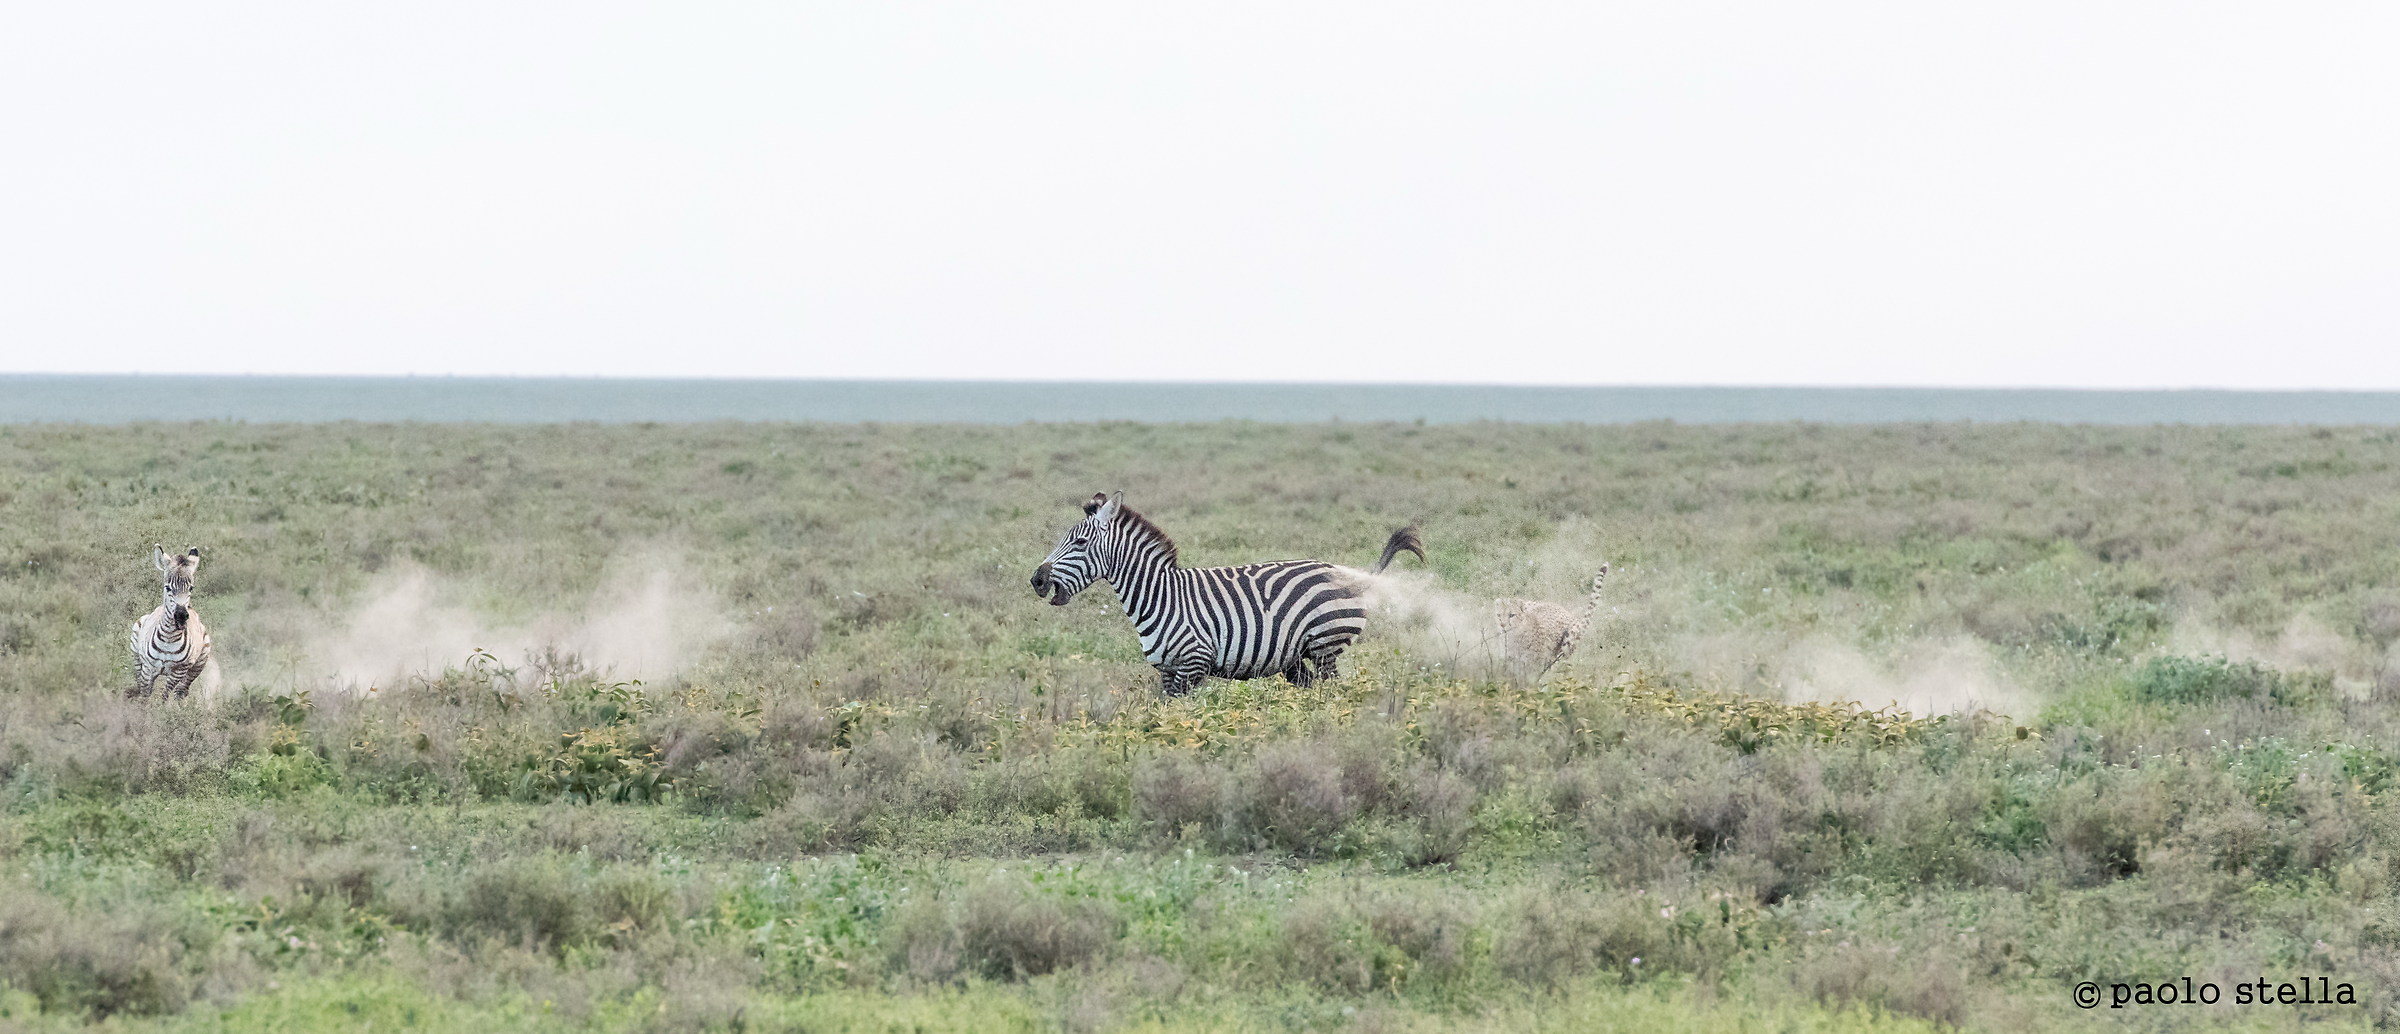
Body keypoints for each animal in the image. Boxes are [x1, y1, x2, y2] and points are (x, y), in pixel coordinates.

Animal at [130, 545, 214, 700]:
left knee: (181, 691)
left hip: (198, 663)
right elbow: (145, 695)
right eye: (168, 587)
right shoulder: (148, 668)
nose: (181, 616)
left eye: (191, 588)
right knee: (139, 683)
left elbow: (164, 696)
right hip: (137, 656)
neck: (168, 638)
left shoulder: (179, 671)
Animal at [1029, 492, 1424, 696]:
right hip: (1297, 659)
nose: (1036, 579)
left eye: (1080, 542)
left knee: (1332, 693)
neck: (1160, 595)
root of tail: (1357, 576)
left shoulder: (1193, 663)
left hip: (1326, 646)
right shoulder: (1167, 671)